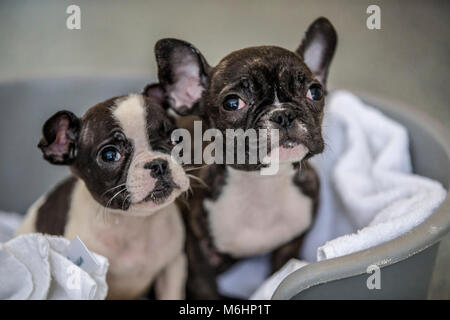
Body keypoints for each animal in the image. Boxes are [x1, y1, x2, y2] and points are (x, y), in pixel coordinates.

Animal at [153, 17, 336, 298]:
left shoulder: (289, 245)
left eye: (314, 92)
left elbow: (279, 272)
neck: (264, 183)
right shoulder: (196, 251)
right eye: (232, 103)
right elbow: (205, 286)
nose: (283, 114)